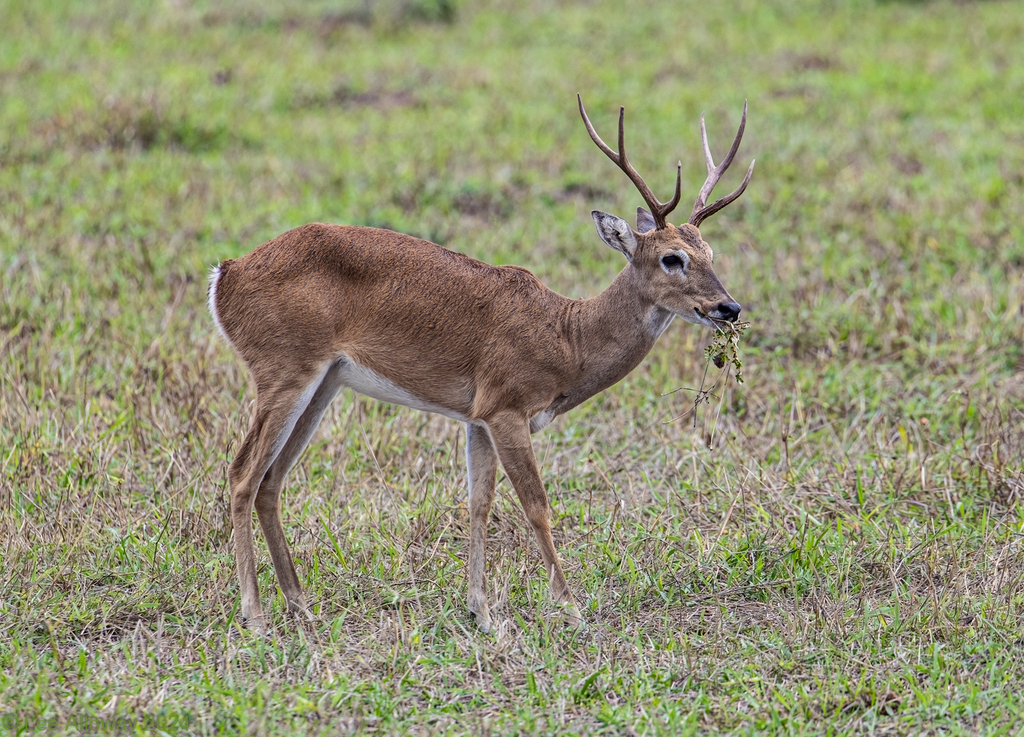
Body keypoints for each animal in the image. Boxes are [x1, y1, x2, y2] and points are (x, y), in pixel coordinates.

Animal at [208, 95, 754, 633]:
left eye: (709, 250)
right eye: (672, 258)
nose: (729, 307)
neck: (566, 337)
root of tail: (225, 275)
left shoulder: (476, 418)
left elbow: (478, 504)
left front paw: (482, 612)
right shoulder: (506, 409)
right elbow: (536, 506)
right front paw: (571, 608)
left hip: (323, 384)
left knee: (271, 480)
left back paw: (300, 604)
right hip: (283, 372)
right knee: (242, 473)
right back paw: (254, 613)